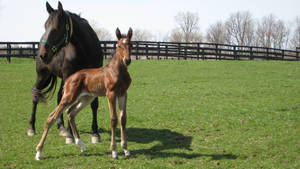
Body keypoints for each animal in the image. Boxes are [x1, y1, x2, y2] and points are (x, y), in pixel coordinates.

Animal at [28, 1, 103, 143]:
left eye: (57, 27)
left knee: (59, 98)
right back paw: (31, 128)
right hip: (43, 75)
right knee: (35, 94)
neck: (85, 50)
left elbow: (94, 104)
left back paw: (61, 127)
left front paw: (95, 133)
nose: (43, 54)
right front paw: (70, 135)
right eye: (45, 25)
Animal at [35, 27, 132, 160]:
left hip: (86, 98)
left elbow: (123, 119)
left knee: (71, 112)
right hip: (69, 97)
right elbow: (113, 119)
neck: (117, 71)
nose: (127, 60)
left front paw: (126, 150)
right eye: (119, 46)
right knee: (52, 117)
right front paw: (114, 152)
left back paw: (81, 145)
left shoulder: (123, 93)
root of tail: (69, 79)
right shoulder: (111, 94)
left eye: (131, 45)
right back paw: (39, 152)